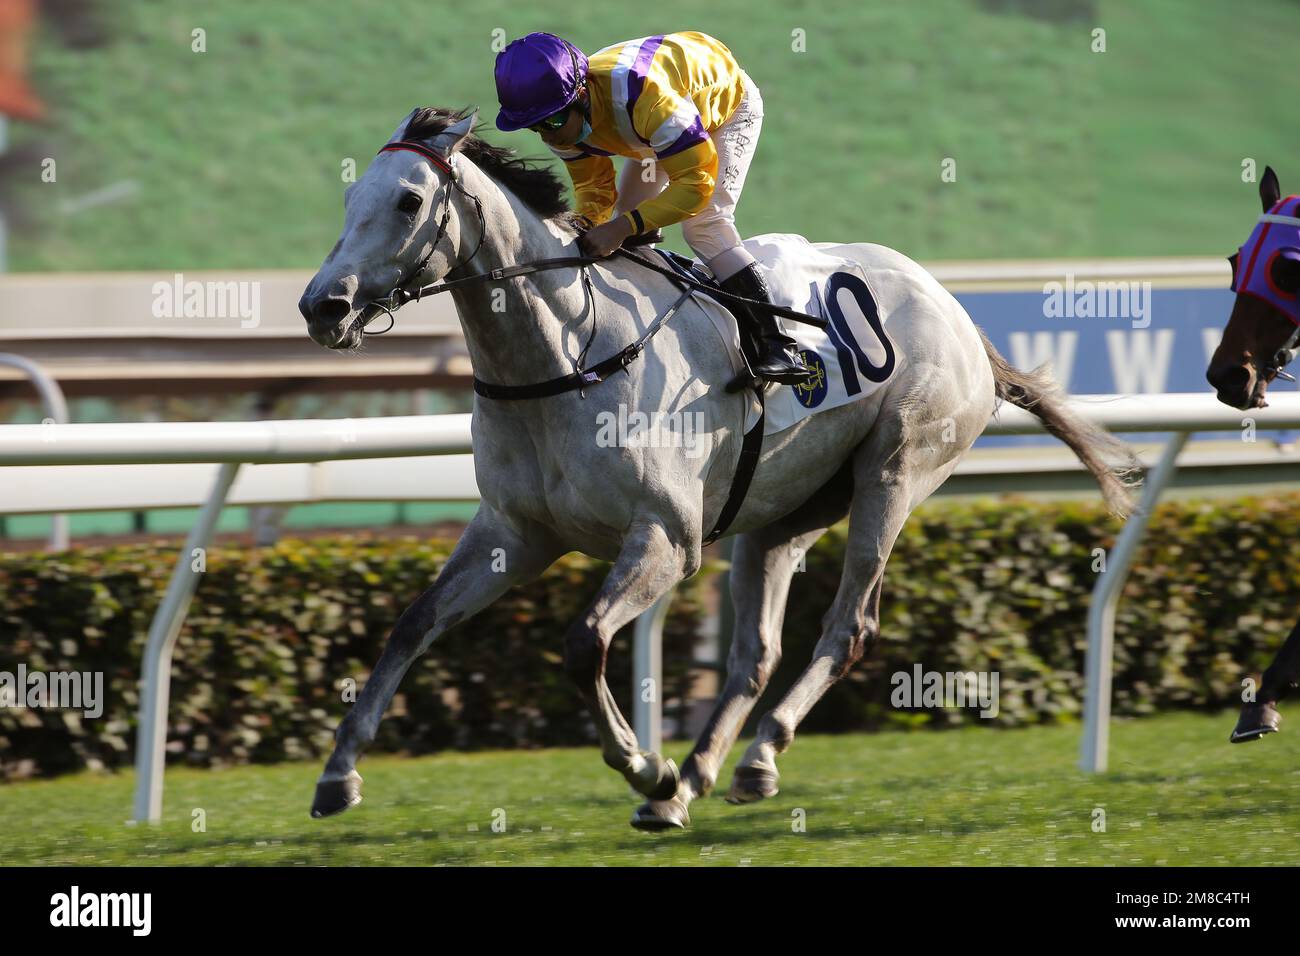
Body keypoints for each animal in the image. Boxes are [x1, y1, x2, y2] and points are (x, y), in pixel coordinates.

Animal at [299, 108, 1133, 832]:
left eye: (409, 200)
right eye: (347, 196)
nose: (321, 306)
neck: (567, 353)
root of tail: (955, 309)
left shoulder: (667, 539)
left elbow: (585, 642)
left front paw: (644, 764)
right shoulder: (516, 532)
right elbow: (413, 624)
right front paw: (338, 775)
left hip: (894, 474)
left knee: (849, 626)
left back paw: (742, 761)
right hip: (784, 513)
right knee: (755, 654)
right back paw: (699, 778)